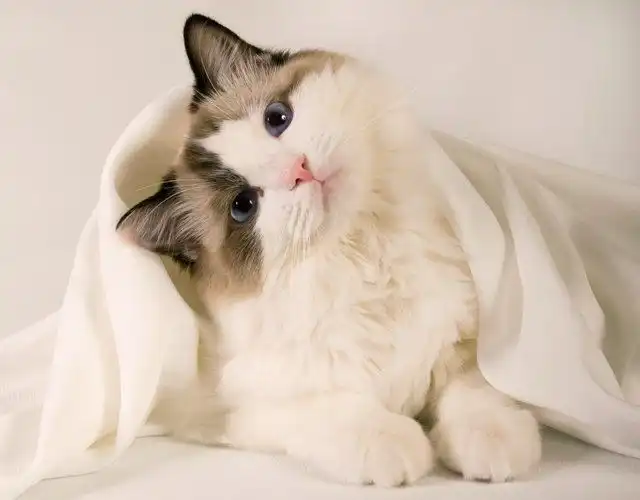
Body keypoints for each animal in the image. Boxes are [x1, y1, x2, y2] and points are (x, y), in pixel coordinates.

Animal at [117, 13, 542, 486]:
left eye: (277, 119)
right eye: (243, 206)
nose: (299, 170)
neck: (365, 251)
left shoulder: (462, 339)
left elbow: (470, 389)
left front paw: (493, 439)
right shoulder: (240, 407)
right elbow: (337, 408)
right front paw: (396, 446)